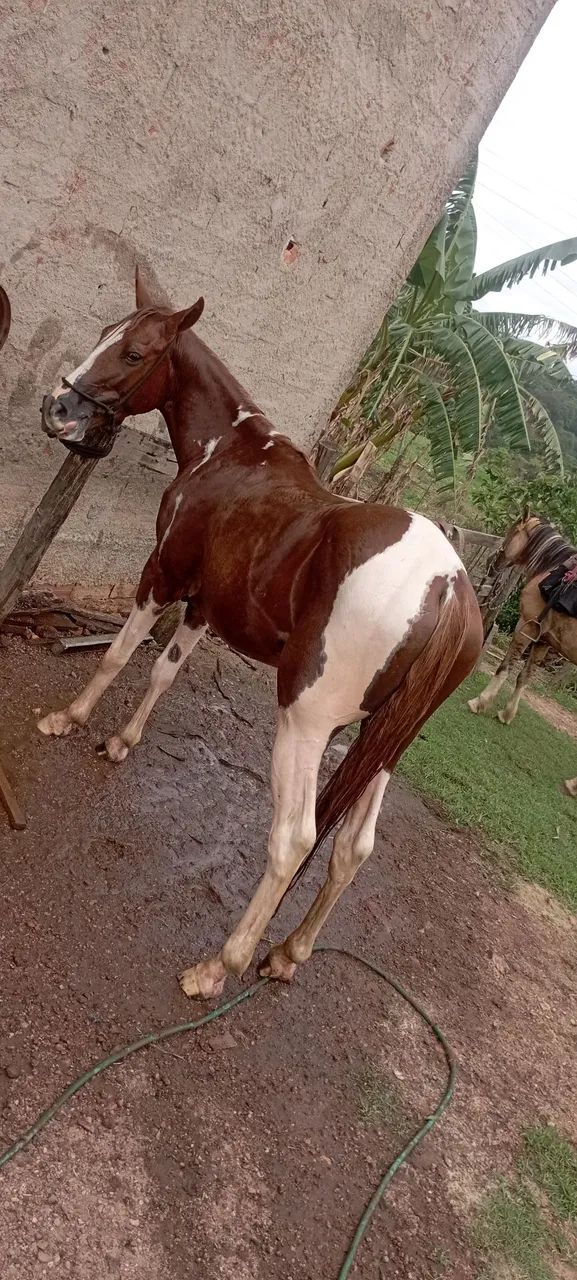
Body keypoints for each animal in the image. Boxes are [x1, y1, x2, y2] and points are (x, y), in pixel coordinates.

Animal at [38, 268, 483, 999]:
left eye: (134, 353)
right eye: (107, 333)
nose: (57, 410)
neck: (232, 455)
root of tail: (445, 581)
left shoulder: (162, 574)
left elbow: (119, 654)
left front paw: (67, 719)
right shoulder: (204, 604)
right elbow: (164, 669)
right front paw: (123, 741)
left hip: (305, 724)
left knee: (295, 839)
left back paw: (219, 966)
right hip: (385, 741)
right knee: (352, 847)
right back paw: (288, 951)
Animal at [468, 512, 577, 793]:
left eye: (512, 531)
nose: (493, 562)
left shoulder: (525, 627)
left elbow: (505, 667)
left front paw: (481, 701)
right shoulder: (543, 641)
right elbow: (523, 677)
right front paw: (507, 714)